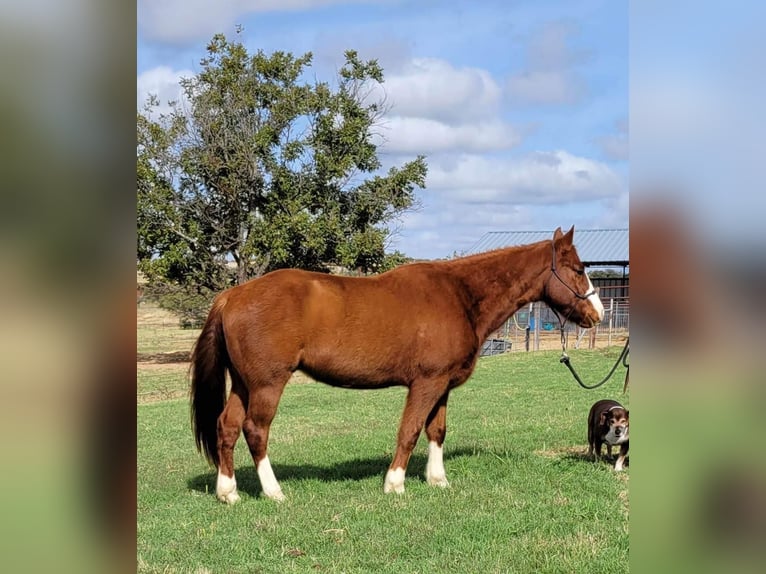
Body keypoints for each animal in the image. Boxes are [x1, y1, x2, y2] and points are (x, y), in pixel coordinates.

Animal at [190, 226, 608, 504]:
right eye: (576, 269)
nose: (598, 314)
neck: (459, 295)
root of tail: (231, 295)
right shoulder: (425, 383)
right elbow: (409, 431)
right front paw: (395, 483)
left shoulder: (442, 385)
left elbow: (437, 430)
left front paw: (437, 480)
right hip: (267, 384)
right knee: (255, 430)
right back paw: (274, 492)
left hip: (244, 383)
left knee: (227, 427)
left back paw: (228, 492)